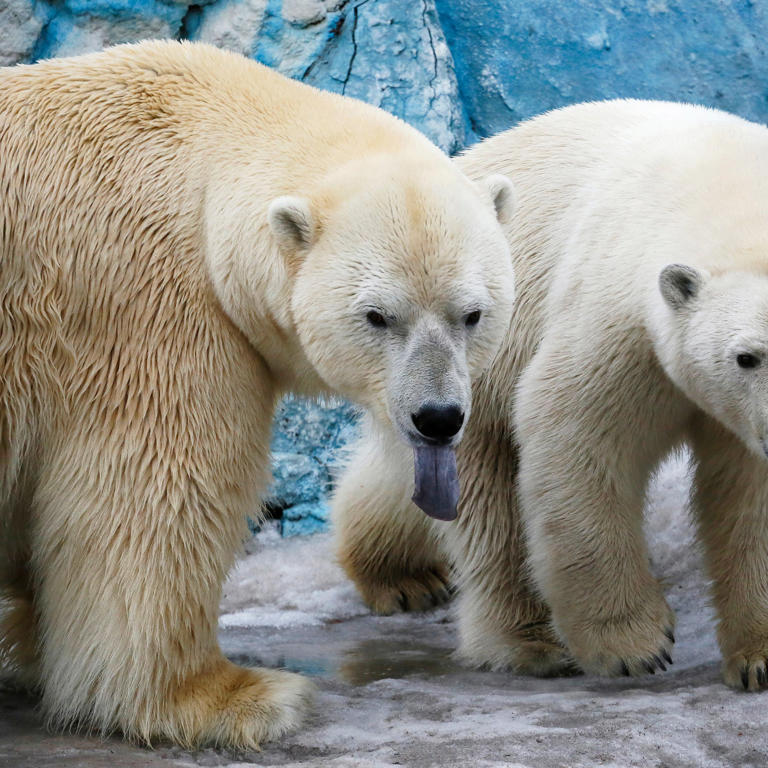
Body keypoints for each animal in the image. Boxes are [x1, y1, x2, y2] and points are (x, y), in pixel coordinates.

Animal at [0, 40, 517, 747]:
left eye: (472, 313)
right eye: (377, 316)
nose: (437, 417)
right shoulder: (148, 306)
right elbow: (154, 495)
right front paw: (229, 697)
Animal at [333, 99, 768, 691]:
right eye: (747, 356)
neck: (727, 183)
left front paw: (758, 659)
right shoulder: (619, 309)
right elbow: (577, 438)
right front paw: (633, 645)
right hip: (467, 361)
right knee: (486, 502)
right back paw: (512, 632)